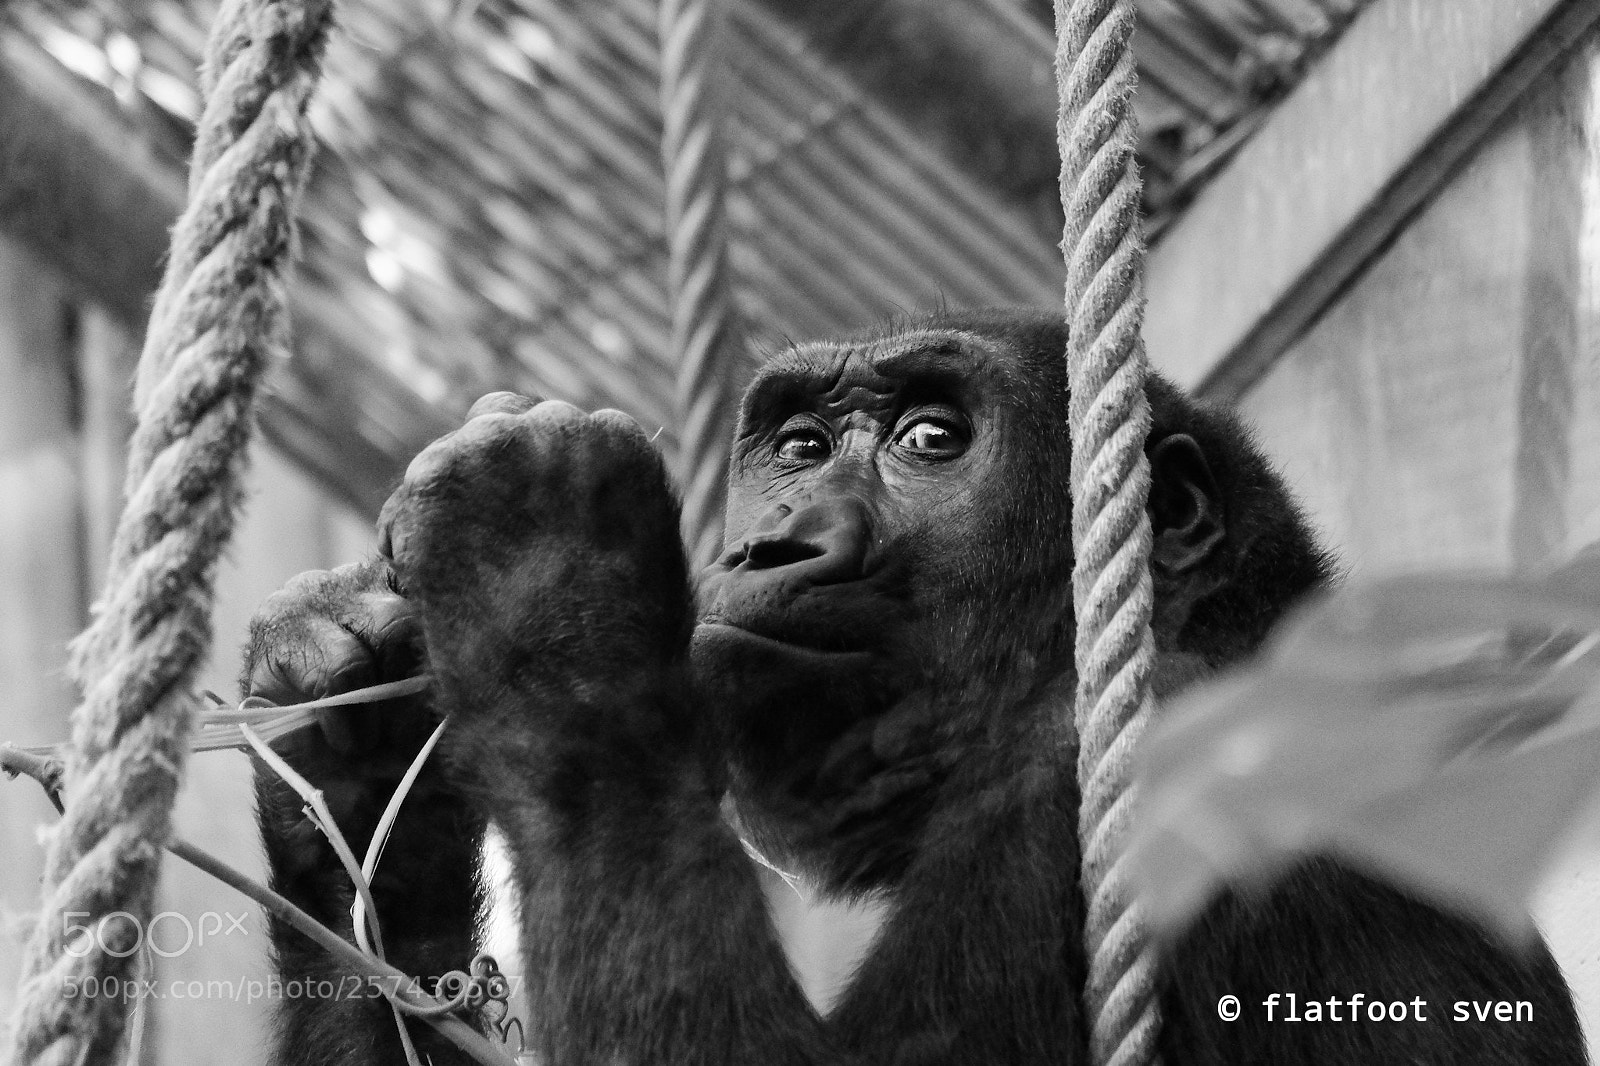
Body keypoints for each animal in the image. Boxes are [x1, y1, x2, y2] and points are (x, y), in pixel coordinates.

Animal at [246, 308, 1588, 1065]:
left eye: (930, 440)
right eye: (795, 450)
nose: (770, 544)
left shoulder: (1100, 797)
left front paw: (547, 561)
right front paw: (345, 744)